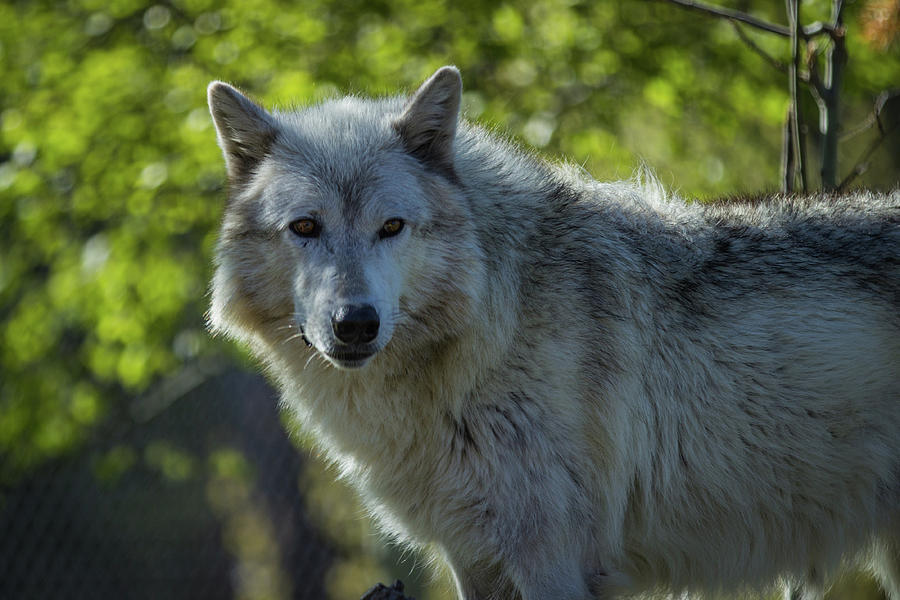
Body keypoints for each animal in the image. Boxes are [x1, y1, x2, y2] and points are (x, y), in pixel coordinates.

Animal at [206, 67, 900, 600]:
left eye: (392, 227)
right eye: (305, 227)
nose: (356, 323)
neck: (493, 329)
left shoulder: (552, 561)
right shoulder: (475, 559)